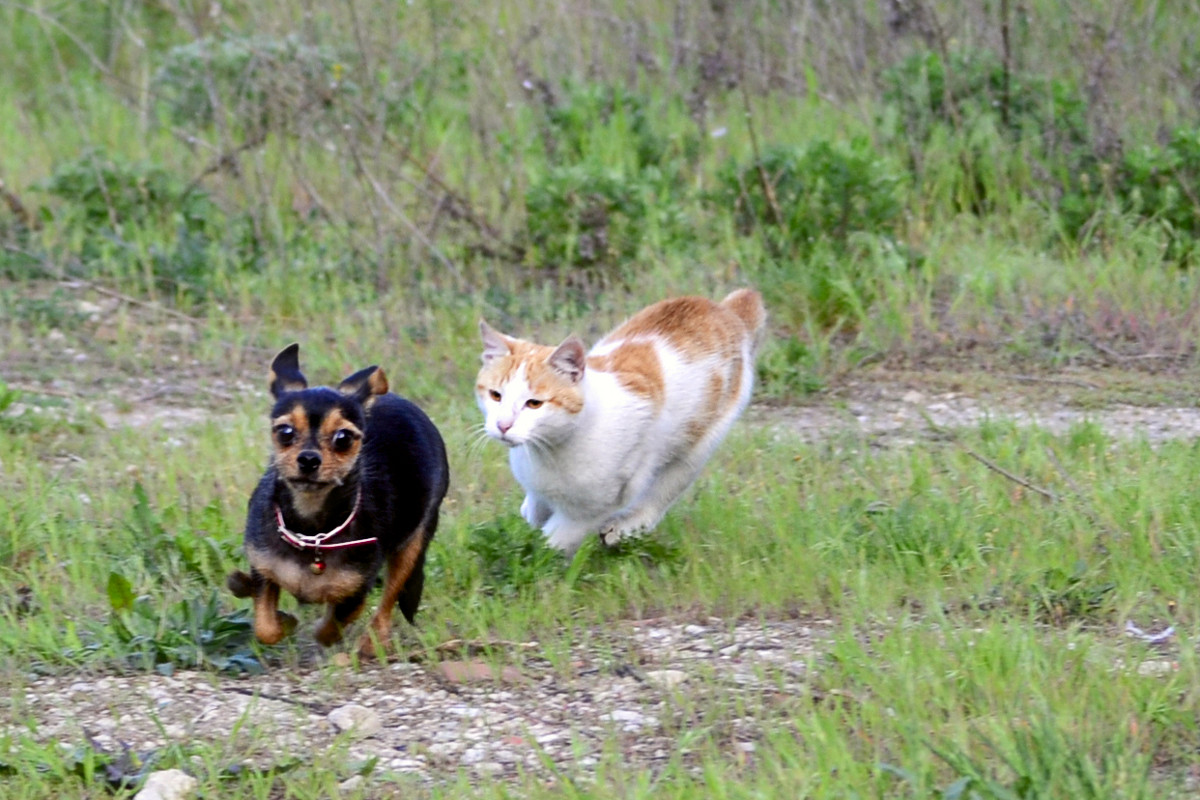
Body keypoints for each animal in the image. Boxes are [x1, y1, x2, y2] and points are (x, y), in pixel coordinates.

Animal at [226, 345, 448, 657]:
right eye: (285, 432)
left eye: (343, 438)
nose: (308, 459)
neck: (312, 532)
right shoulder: (263, 568)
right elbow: (266, 627)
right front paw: (284, 620)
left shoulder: (356, 589)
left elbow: (332, 625)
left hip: (413, 544)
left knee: (389, 599)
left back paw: (372, 642)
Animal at [472, 289, 763, 556]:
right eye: (496, 395)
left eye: (534, 403)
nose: (503, 425)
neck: (551, 451)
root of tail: (725, 310)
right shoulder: (537, 486)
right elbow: (535, 509)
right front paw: (532, 515)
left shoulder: (602, 502)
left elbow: (557, 537)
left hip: (695, 449)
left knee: (660, 495)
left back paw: (622, 529)